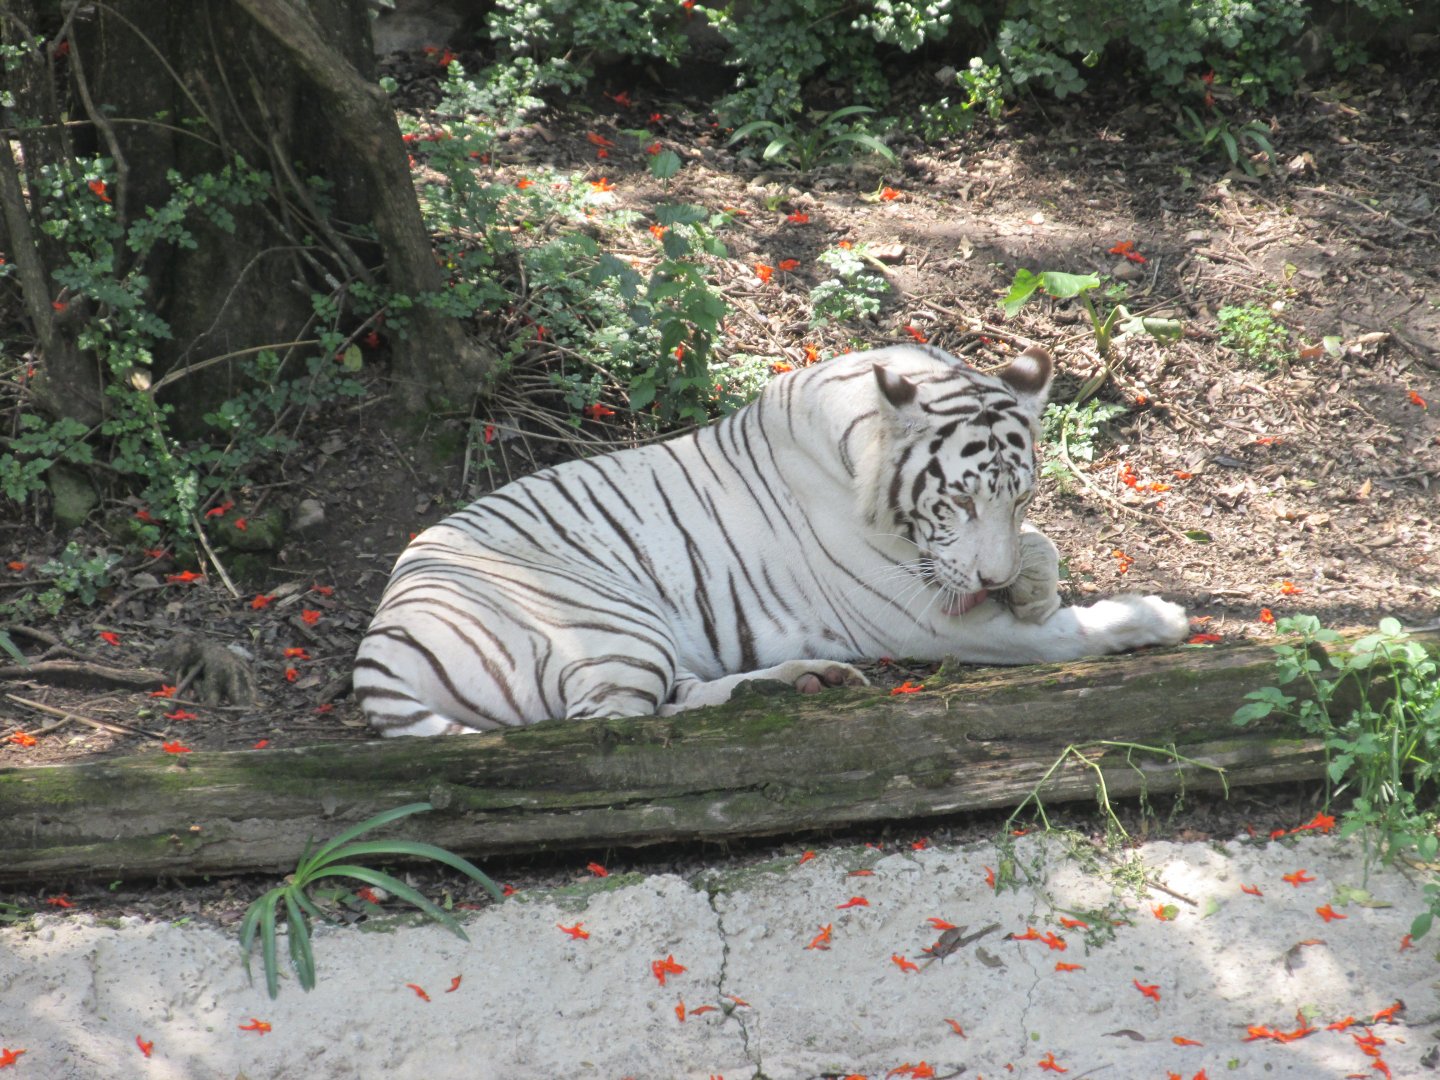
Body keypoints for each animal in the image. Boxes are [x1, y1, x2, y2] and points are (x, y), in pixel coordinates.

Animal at [354, 343, 1189, 736]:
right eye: (956, 501)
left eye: (1021, 498)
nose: (993, 583)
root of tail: (379, 643)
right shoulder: (921, 611)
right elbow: (1064, 635)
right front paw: (1155, 617)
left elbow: (1040, 550)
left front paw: (1033, 582)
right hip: (609, 622)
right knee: (609, 730)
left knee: (670, 704)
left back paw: (799, 682)